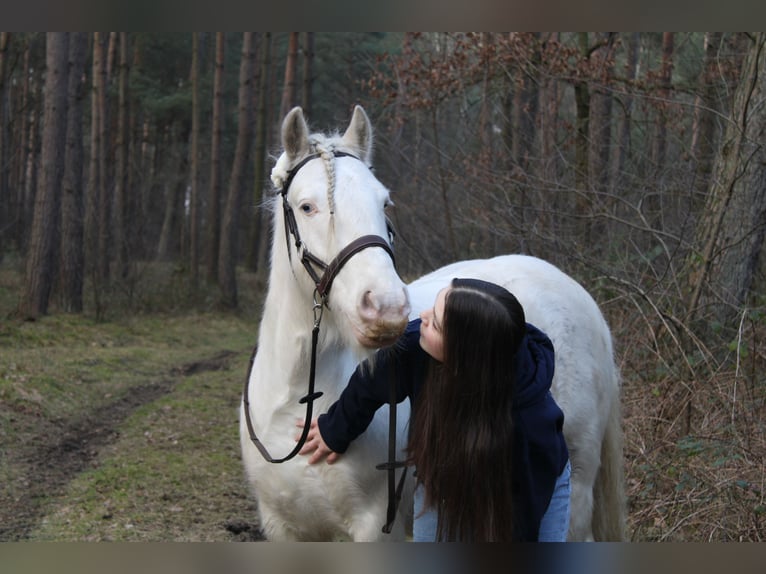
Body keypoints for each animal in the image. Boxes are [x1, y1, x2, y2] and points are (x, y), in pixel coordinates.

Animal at [243, 104, 628, 544]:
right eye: (307, 207)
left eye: (384, 203)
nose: (386, 307)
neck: (300, 401)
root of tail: (582, 298)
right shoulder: (283, 528)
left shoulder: (375, 527)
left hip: (575, 487)